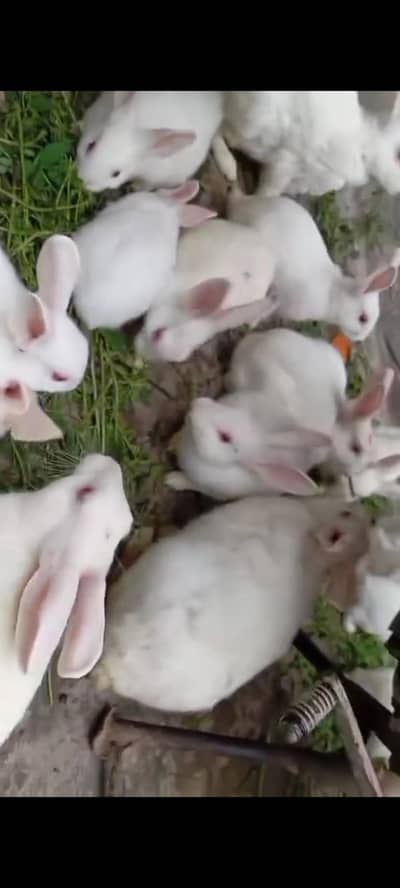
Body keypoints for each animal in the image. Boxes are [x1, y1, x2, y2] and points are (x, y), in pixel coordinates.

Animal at [77, 91, 223, 193]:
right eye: (90, 145)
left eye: (116, 174)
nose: (84, 180)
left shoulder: (154, 179)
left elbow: (145, 186)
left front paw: (134, 187)